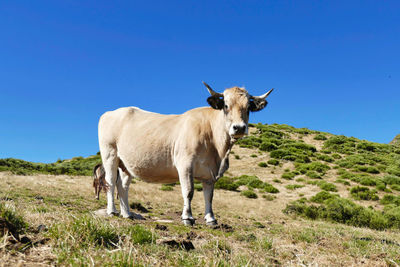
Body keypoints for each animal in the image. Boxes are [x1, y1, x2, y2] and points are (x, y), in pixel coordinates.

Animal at [97, 82, 274, 226]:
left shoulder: (210, 173)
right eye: (225, 105)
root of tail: (110, 112)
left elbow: (209, 196)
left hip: (126, 164)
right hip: (109, 154)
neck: (218, 151)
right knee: (110, 182)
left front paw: (211, 219)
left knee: (123, 186)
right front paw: (187, 218)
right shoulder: (185, 164)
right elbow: (188, 192)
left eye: (248, 108)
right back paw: (112, 211)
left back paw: (127, 213)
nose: (239, 128)